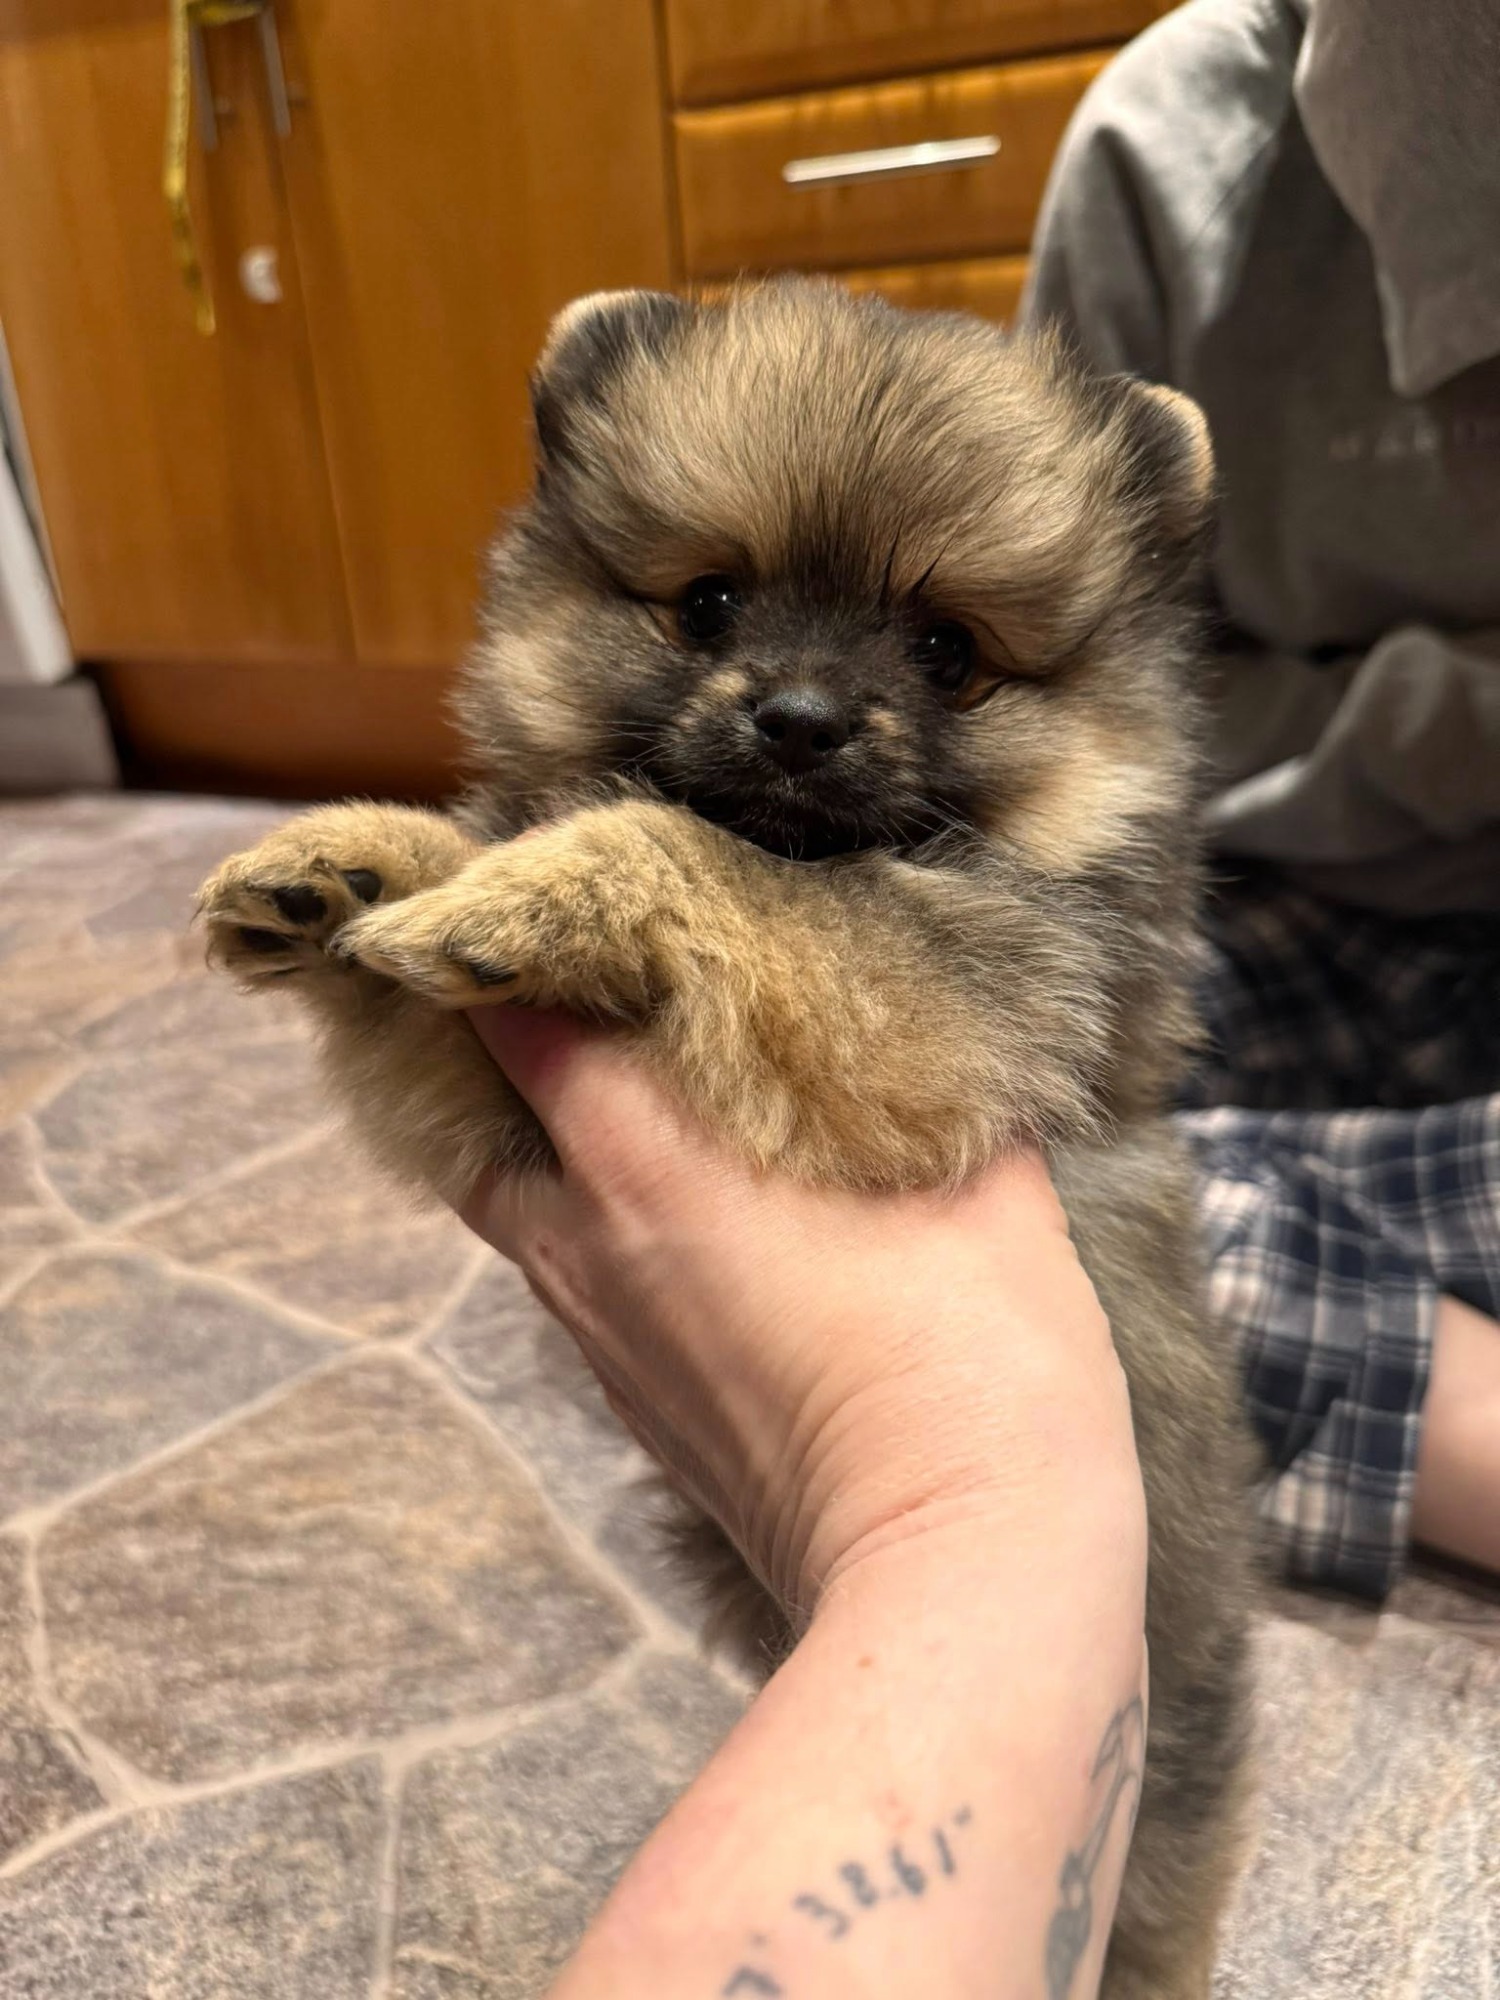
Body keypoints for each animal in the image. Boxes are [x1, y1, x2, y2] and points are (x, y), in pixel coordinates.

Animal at [198, 278, 1254, 1998]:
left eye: (948, 649)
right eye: (706, 605)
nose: (802, 717)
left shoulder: (952, 1000)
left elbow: (714, 863)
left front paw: (546, 885)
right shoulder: (499, 1104)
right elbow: (448, 926)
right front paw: (359, 863)